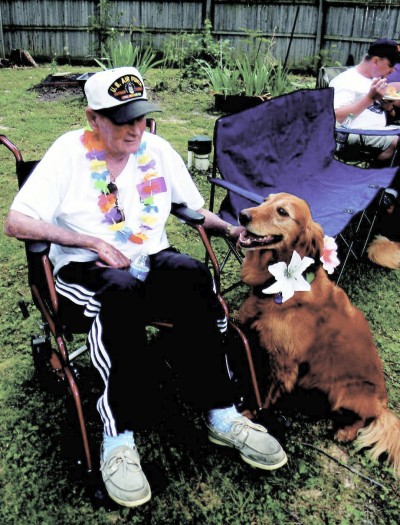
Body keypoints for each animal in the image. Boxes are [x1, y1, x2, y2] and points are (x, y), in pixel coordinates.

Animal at [236, 191, 400, 474]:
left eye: (282, 212)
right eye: (265, 200)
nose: (242, 215)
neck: (279, 288)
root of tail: (383, 403)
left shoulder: (284, 365)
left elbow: (264, 396)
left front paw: (250, 417)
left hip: (345, 392)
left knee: (365, 418)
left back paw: (346, 431)